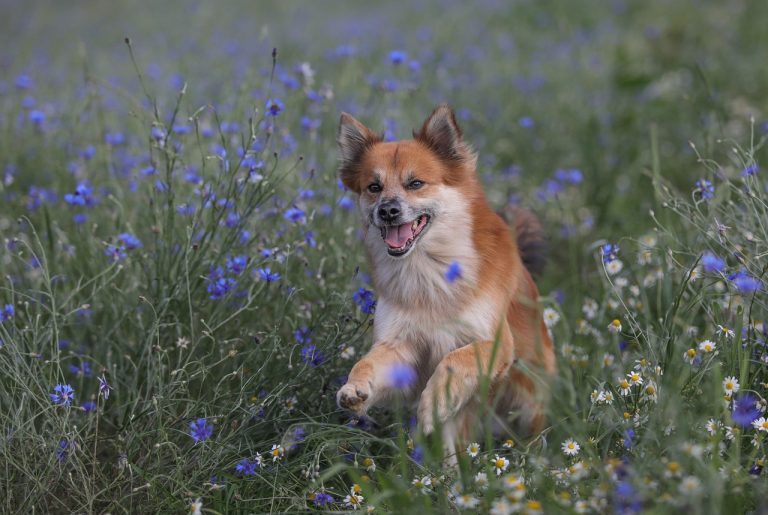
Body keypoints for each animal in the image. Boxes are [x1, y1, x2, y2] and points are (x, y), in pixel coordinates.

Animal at [332, 105, 556, 460]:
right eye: (373, 187)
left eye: (415, 183)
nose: (388, 211)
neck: (428, 270)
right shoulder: (399, 344)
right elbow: (368, 363)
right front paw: (355, 387)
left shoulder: (493, 342)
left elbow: (454, 361)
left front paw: (435, 402)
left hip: (526, 398)